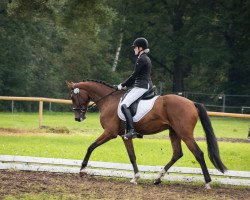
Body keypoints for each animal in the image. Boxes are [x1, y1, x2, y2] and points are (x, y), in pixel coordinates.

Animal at [66, 79, 227, 189]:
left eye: (73, 97)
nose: (78, 118)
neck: (108, 100)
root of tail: (192, 103)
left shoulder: (110, 133)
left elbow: (91, 146)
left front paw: (82, 169)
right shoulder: (124, 136)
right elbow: (132, 156)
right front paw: (136, 177)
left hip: (185, 134)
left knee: (198, 153)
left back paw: (207, 183)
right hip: (174, 132)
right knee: (177, 153)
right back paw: (158, 178)